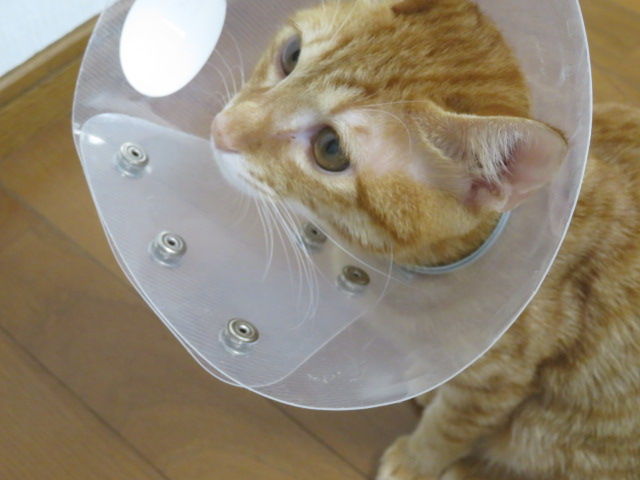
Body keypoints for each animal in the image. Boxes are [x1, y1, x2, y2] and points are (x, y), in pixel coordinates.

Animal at [210, 0, 640, 478]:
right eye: (291, 54)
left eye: (330, 149)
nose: (221, 128)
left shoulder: (496, 380)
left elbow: (448, 426)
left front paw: (415, 462)